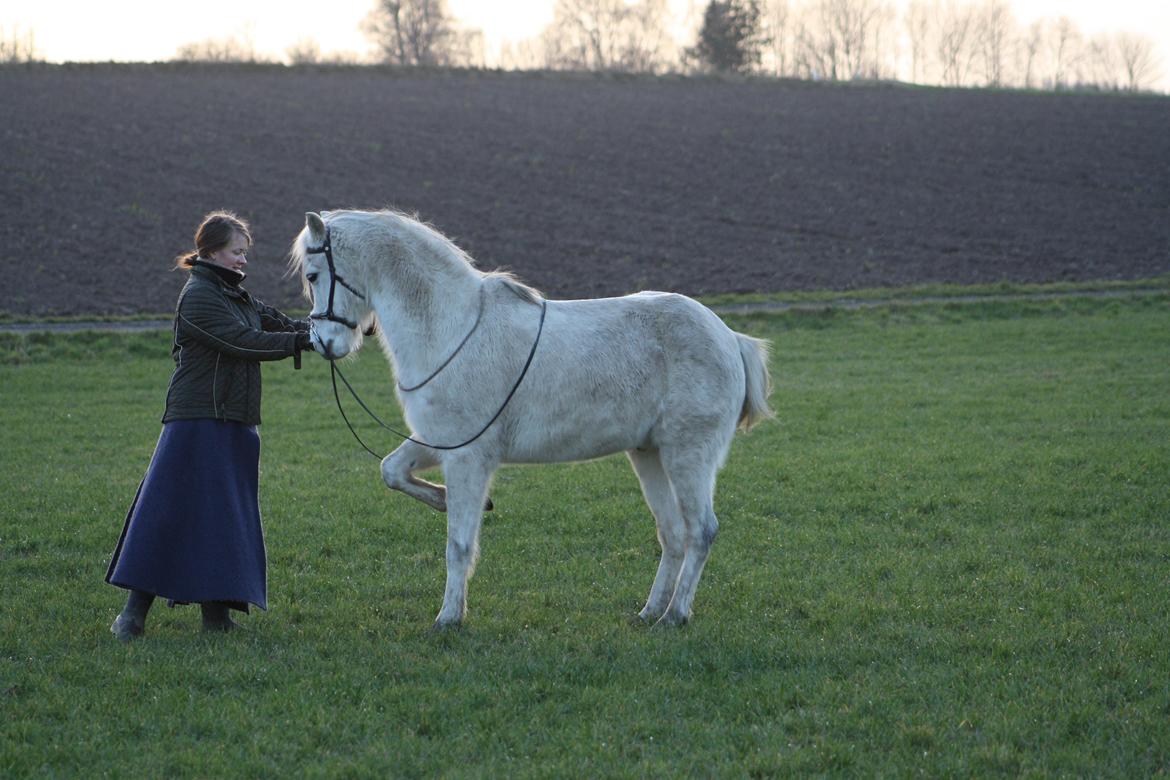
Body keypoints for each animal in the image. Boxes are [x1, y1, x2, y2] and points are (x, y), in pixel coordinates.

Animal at [287, 210, 772, 631]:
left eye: (312, 276)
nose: (324, 343)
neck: (450, 329)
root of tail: (729, 336)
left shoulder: (467, 457)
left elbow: (458, 545)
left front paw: (449, 618)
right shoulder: (437, 442)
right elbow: (391, 471)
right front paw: (444, 500)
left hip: (688, 455)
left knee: (701, 531)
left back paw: (676, 615)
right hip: (649, 454)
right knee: (672, 534)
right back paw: (651, 611)